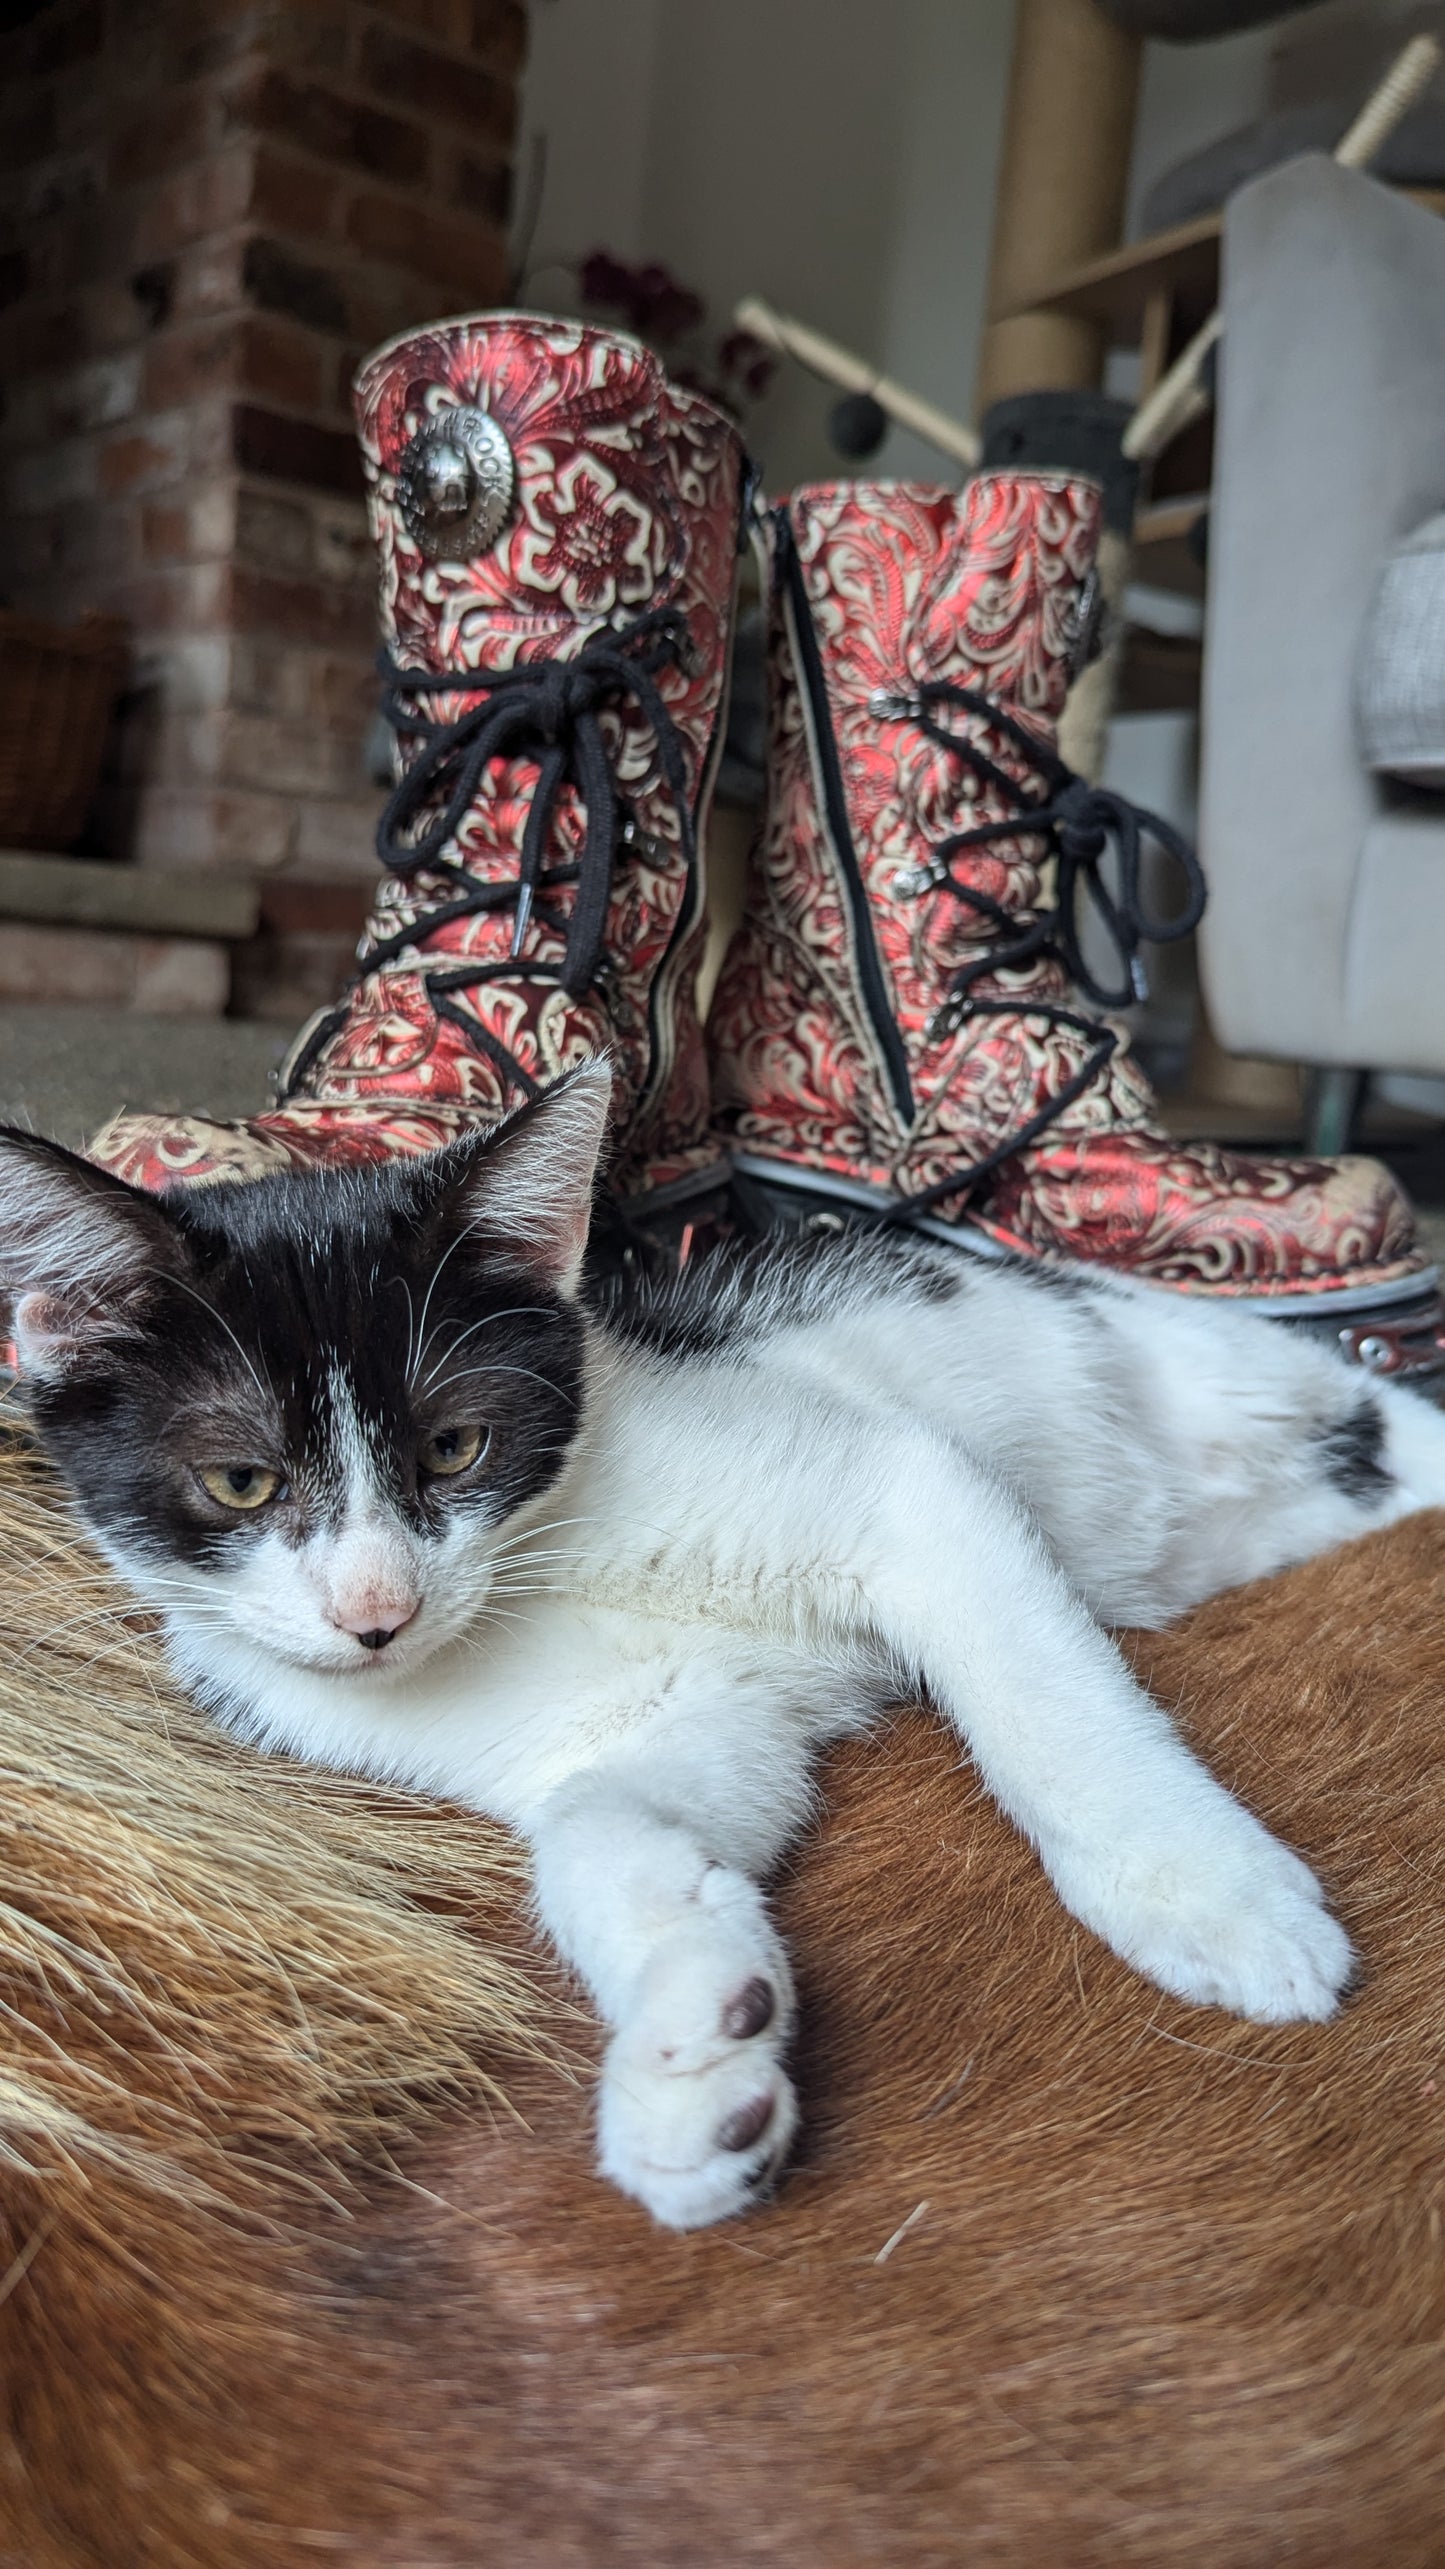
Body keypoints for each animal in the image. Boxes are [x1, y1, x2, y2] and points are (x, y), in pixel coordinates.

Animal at [2, 1063, 1439, 2229]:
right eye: (240, 1482)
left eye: (455, 1445)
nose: (377, 1614)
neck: (539, 1570)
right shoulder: (694, 1719)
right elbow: (601, 1822)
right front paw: (694, 2048)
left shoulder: (910, 1491)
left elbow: (1050, 1708)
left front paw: (1206, 1893)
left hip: (1236, 1373)